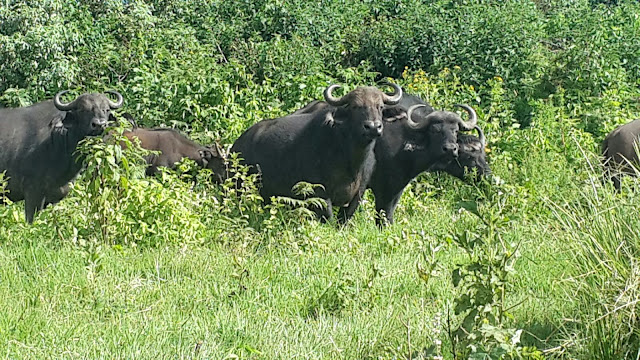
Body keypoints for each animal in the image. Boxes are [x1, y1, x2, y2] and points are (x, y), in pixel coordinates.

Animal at [228, 83, 402, 221]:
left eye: (380, 107)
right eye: (355, 107)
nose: (373, 127)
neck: (351, 161)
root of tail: (237, 145)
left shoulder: (357, 194)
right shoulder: (320, 193)